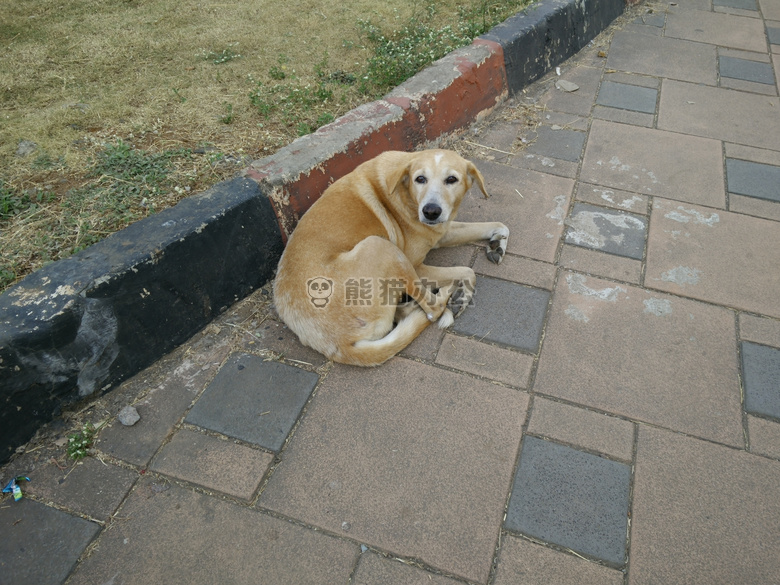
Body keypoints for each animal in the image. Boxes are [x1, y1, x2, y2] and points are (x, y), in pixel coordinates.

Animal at [272, 148, 506, 362]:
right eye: (420, 179)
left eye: (451, 179)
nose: (430, 211)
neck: (403, 188)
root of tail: (337, 346)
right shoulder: (417, 263)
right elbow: (468, 271)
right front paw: (463, 296)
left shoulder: (441, 232)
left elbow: (499, 225)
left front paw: (498, 243)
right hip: (382, 246)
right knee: (433, 309)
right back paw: (446, 295)